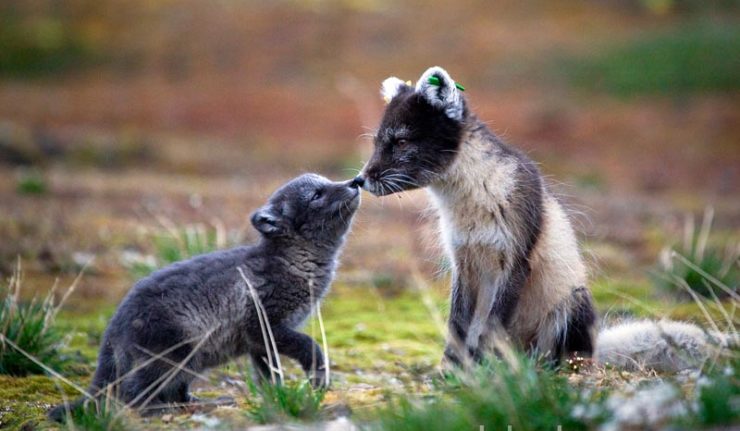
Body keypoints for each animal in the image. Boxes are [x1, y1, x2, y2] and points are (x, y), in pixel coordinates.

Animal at [47, 173, 360, 422]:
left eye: (327, 182)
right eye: (317, 195)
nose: (355, 182)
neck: (292, 262)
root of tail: (115, 324)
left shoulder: (258, 344)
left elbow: (268, 375)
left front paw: (275, 398)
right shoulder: (263, 325)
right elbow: (309, 346)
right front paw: (318, 377)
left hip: (189, 361)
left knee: (172, 390)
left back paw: (198, 404)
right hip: (175, 353)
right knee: (131, 389)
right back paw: (155, 411)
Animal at [354, 66, 728, 370]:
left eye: (401, 141)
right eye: (377, 142)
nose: (359, 180)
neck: (469, 202)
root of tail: (596, 348)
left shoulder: (515, 259)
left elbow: (490, 329)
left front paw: (482, 373)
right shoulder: (464, 262)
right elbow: (458, 327)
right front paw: (453, 372)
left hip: (572, 304)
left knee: (559, 355)